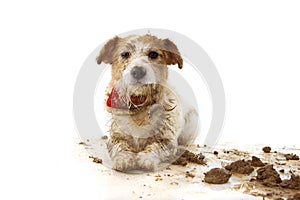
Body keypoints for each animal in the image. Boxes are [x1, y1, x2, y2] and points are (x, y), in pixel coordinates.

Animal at [97, 34, 198, 172]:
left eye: (153, 54)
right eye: (124, 54)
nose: (138, 71)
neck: (140, 104)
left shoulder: (167, 141)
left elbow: (155, 147)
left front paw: (146, 159)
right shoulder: (115, 138)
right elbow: (121, 147)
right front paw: (123, 159)